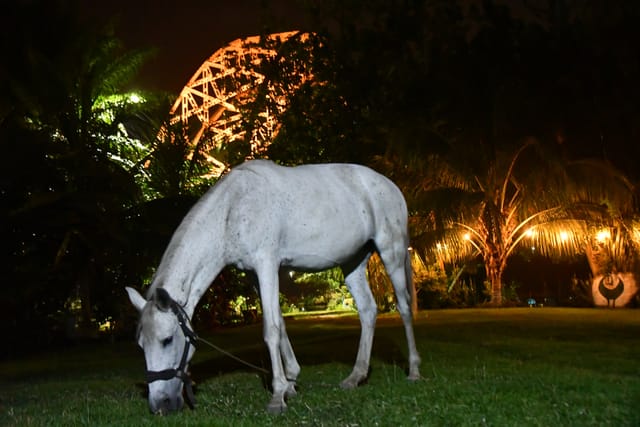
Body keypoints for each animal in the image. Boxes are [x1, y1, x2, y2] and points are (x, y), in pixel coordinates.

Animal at [126, 159, 421, 414]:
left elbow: (271, 330)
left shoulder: (266, 263)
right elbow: (280, 324)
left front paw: (278, 395)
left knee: (404, 307)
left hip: (392, 251)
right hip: (352, 262)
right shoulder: (254, 274)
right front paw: (291, 381)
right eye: (141, 345)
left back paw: (414, 370)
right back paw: (356, 376)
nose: (160, 406)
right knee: (368, 311)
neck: (233, 208)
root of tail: (391, 186)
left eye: (167, 340)